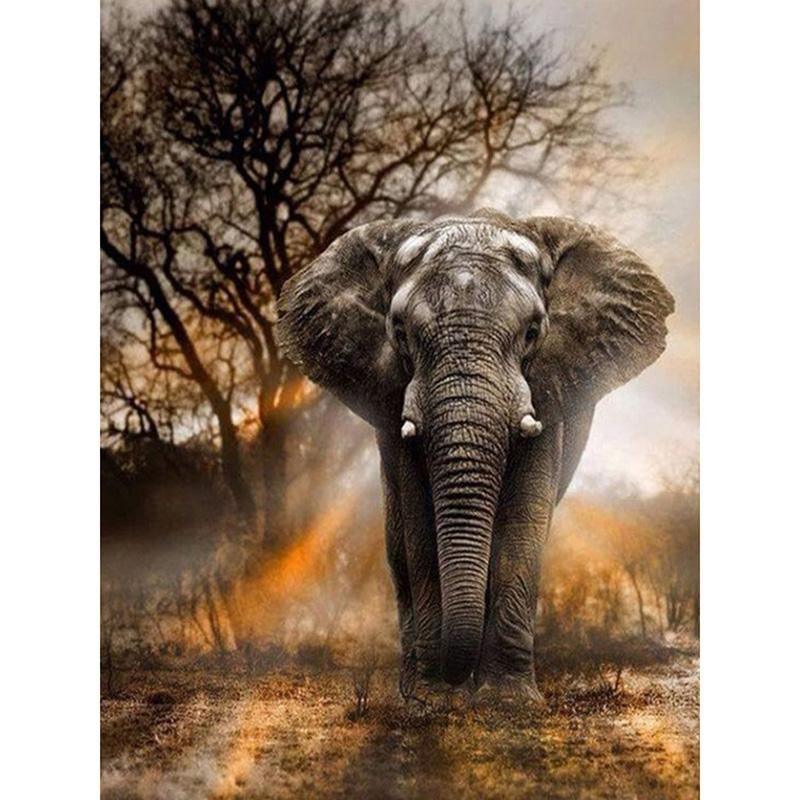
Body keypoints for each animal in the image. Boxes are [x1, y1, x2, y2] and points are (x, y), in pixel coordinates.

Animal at [277, 209, 674, 702]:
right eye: (400, 333)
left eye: (532, 332)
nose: (453, 679)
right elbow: (420, 525)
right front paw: (432, 701)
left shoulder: (547, 390)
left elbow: (523, 521)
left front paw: (509, 703)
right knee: (397, 545)